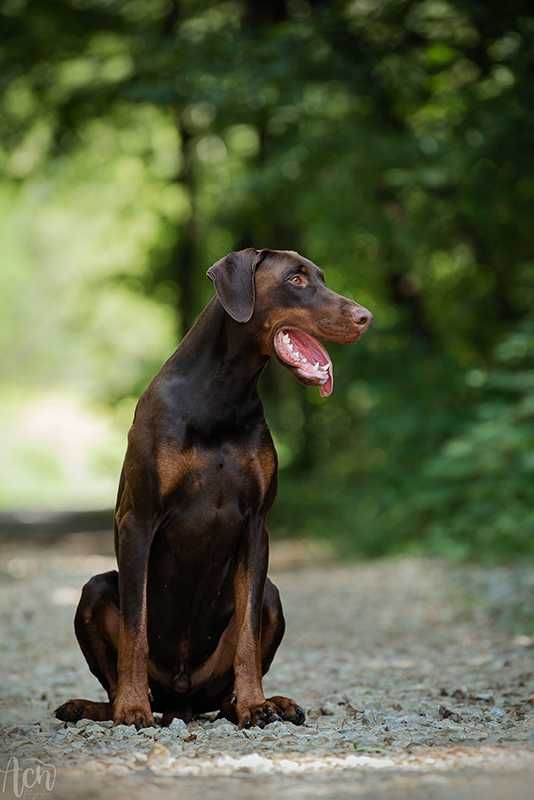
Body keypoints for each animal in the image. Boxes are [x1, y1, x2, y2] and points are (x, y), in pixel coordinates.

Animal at [54, 250, 372, 732]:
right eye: (296, 279)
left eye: (321, 277)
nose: (365, 316)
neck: (222, 393)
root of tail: (181, 700)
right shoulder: (138, 521)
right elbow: (135, 629)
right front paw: (133, 708)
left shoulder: (256, 525)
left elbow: (247, 637)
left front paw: (255, 705)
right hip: (95, 590)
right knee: (111, 682)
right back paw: (95, 707)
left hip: (270, 601)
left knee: (227, 686)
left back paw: (266, 703)